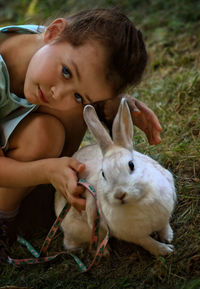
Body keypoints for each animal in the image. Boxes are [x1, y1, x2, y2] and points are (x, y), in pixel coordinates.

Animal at [54, 98, 177, 255]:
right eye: (103, 174)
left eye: (131, 165)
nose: (119, 195)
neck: (138, 201)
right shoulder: (134, 235)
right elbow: (148, 242)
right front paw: (164, 250)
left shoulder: (165, 212)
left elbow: (164, 225)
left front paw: (168, 237)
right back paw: (103, 251)